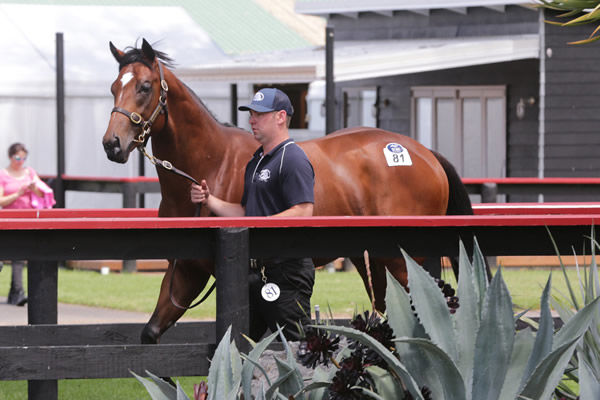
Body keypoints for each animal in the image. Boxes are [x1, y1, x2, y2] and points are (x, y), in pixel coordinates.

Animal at [101, 40, 472, 346]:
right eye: (113, 87)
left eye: (144, 86)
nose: (111, 144)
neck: (211, 163)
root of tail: (424, 153)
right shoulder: (186, 272)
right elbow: (151, 334)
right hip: (373, 260)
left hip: (403, 264)